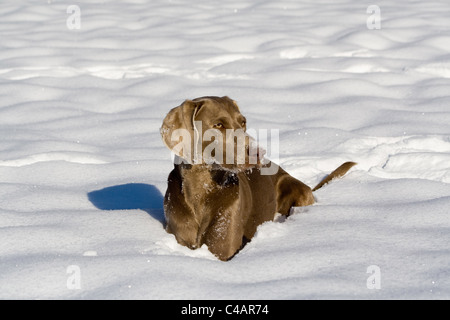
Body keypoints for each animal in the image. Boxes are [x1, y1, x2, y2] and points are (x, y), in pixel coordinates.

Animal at [161, 96, 356, 262]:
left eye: (243, 122)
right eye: (218, 124)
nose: (258, 152)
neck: (202, 190)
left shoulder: (224, 248)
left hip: (293, 186)